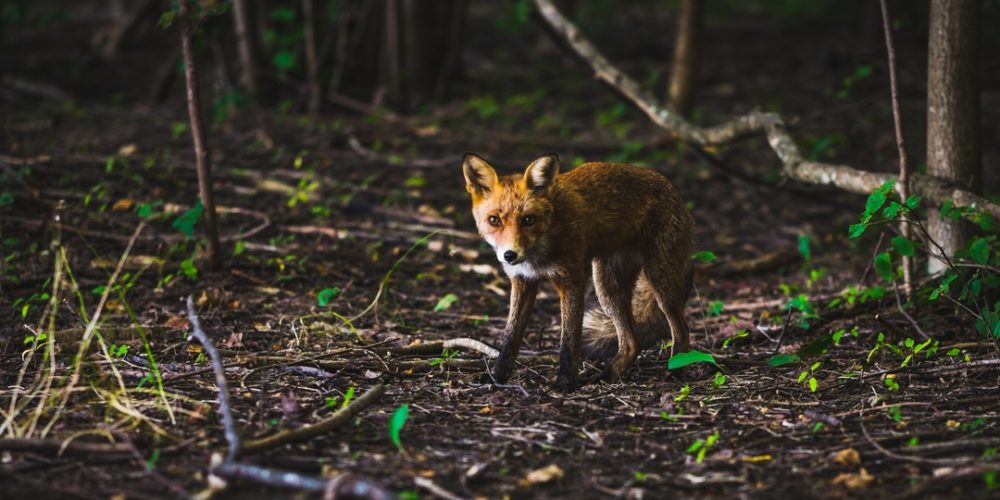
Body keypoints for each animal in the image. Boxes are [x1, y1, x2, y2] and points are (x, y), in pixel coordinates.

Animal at [462, 153, 692, 390]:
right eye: (494, 220)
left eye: (528, 219)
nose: (510, 255)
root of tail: (670, 187)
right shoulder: (523, 281)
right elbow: (510, 337)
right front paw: (497, 376)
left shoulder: (571, 280)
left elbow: (569, 340)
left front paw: (565, 382)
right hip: (608, 290)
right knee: (632, 342)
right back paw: (609, 375)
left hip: (660, 283)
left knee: (682, 330)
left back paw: (676, 371)